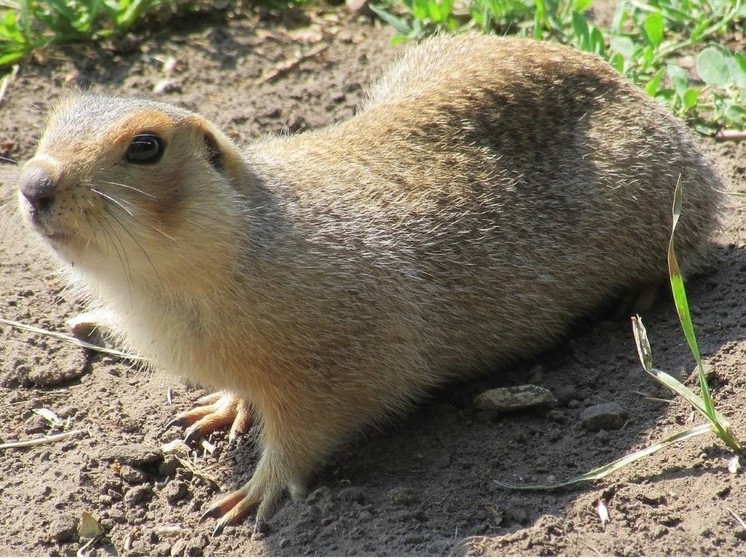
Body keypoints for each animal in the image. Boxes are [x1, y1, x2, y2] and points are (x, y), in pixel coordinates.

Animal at [17, 34, 724, 532]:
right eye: (49, 121)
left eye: (146, 147)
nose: (32, 184)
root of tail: (627, 84)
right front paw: (222, 408)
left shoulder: (337, 348)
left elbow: (315, 421)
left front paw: (253, 492)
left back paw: (642, 292)